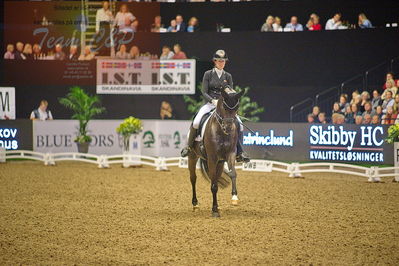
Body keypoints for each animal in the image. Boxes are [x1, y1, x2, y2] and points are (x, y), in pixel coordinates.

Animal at [188, 89, 244, 218]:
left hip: (220, 163)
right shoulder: (212, 158)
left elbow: (232, 173)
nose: (228, 128)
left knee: (216, 179)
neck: (221, 132)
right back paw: (195, 204)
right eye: (224, 106)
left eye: (237, 107)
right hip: (193, 156)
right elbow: (213, 186)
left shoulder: (230, 154)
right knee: (193, 179)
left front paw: (234, 197)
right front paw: (214, 210)